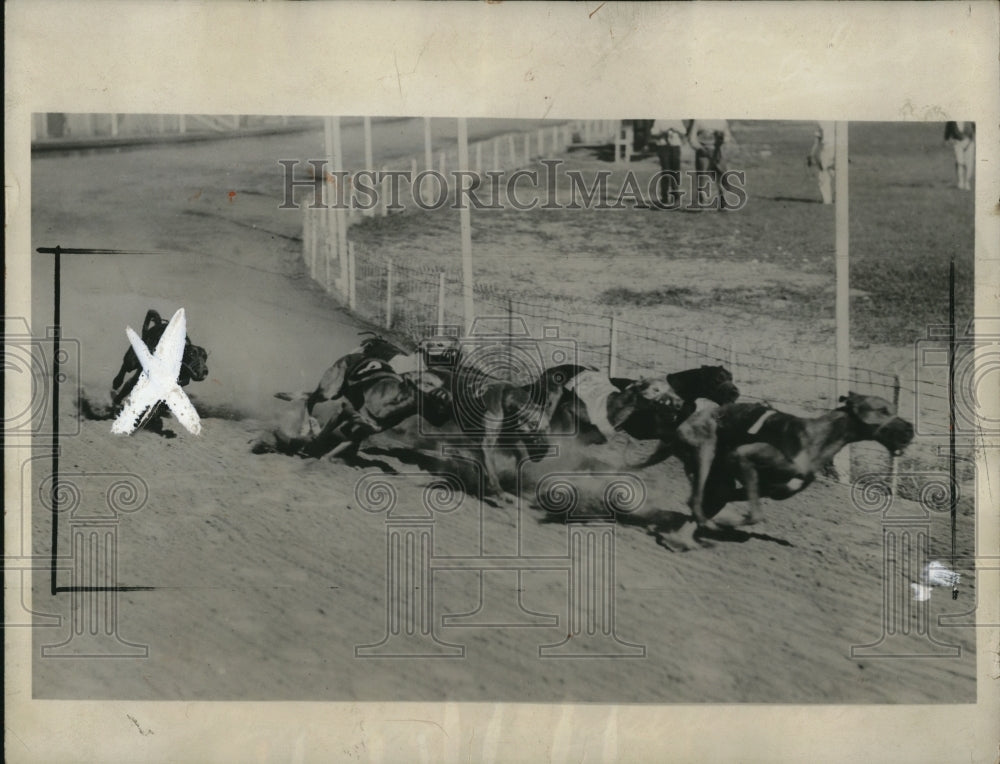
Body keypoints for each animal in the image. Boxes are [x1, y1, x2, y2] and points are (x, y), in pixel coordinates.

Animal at [660, 394, 916, 548]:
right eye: (882, 410)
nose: (910, 428)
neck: (815, 440)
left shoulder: (771, 488)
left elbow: (742, 503)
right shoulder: (742, 456)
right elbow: (755, 514)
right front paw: (726, 523)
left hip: (719, 474)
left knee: (703, 502)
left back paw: (680, 539)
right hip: (705, 451)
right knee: (696, 499)